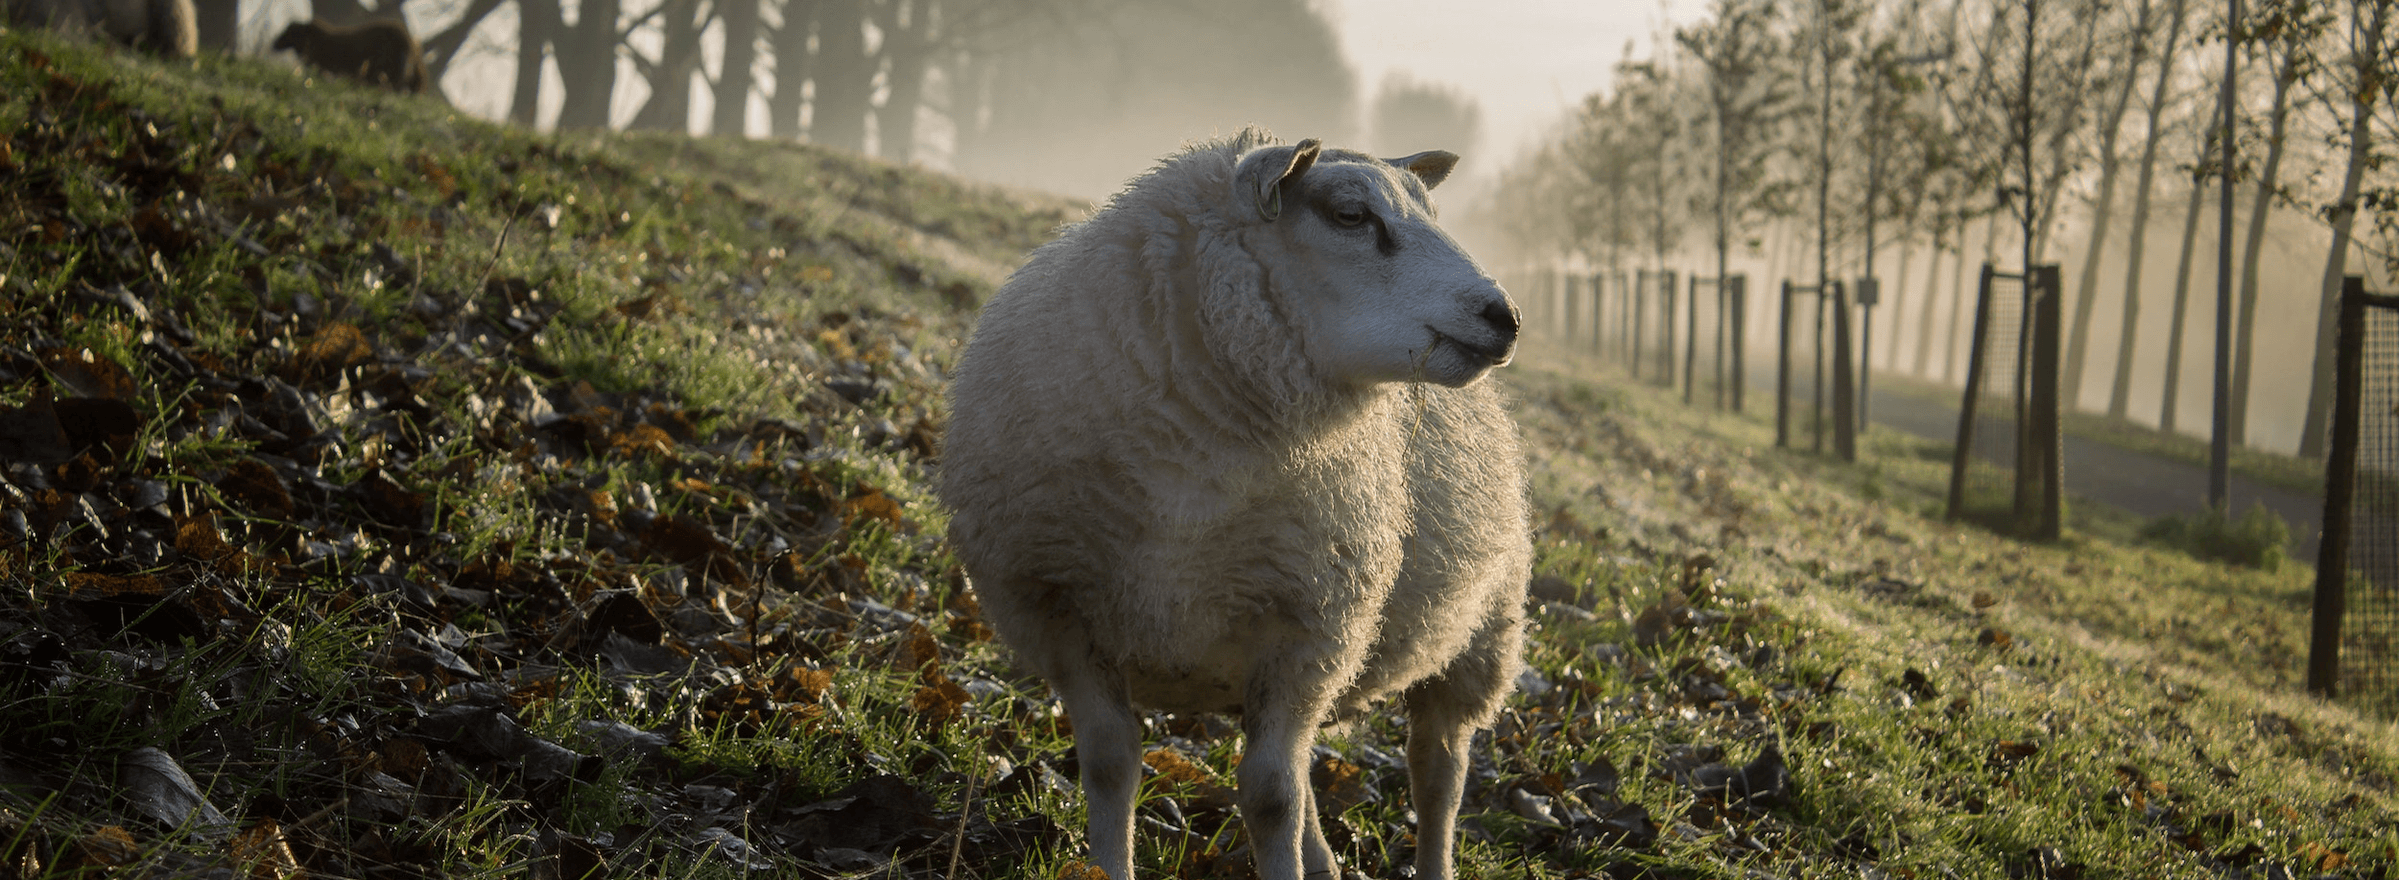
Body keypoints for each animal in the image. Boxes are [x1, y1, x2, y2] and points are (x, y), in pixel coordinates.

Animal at [938, 126, 1531, 880]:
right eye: (1349, 215)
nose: (1505, 317)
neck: (1188, 483)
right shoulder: (1057, 607)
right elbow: (1110, 763)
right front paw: (1109, 862)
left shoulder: (1308, 629)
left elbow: (1271, 796)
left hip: (1479, 638)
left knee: (1437, 775)